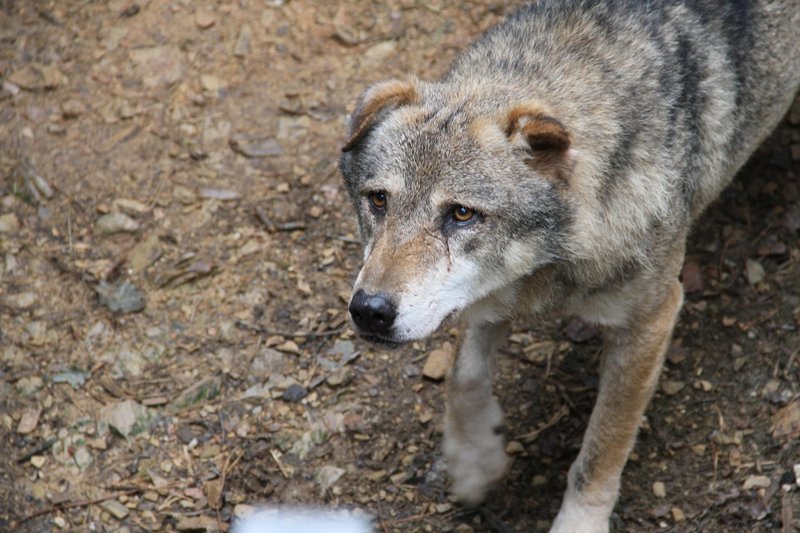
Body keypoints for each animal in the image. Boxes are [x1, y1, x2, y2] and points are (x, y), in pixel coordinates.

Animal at [340, 2, 800, 528]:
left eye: (461, 214)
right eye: (378, 200)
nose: (369, 311)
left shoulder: (650, 321)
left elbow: (601, 449)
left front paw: (579, 522)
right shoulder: (492, 296)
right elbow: (464, 376)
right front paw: (474, 461)